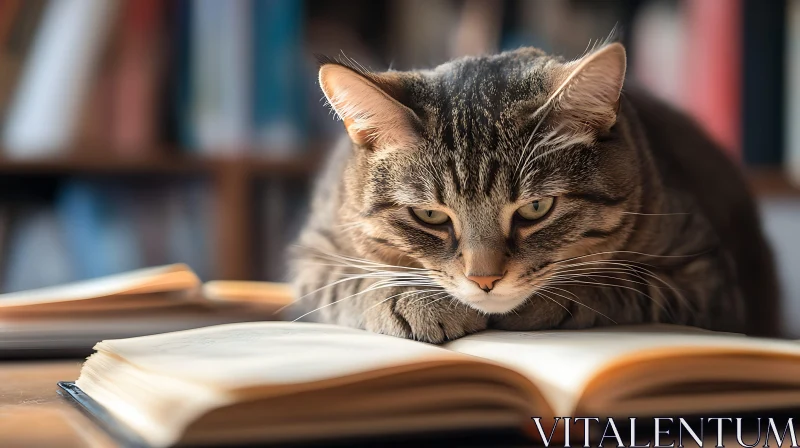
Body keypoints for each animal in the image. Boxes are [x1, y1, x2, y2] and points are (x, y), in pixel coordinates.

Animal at [290, 43, 780, 342]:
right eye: (430, 216)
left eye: (536, 209)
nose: (484, 280)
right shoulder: (312, 251)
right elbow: (347, 282)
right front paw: (411, 300)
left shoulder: (707, 274)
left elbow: (624, 283)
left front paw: (549, 303)